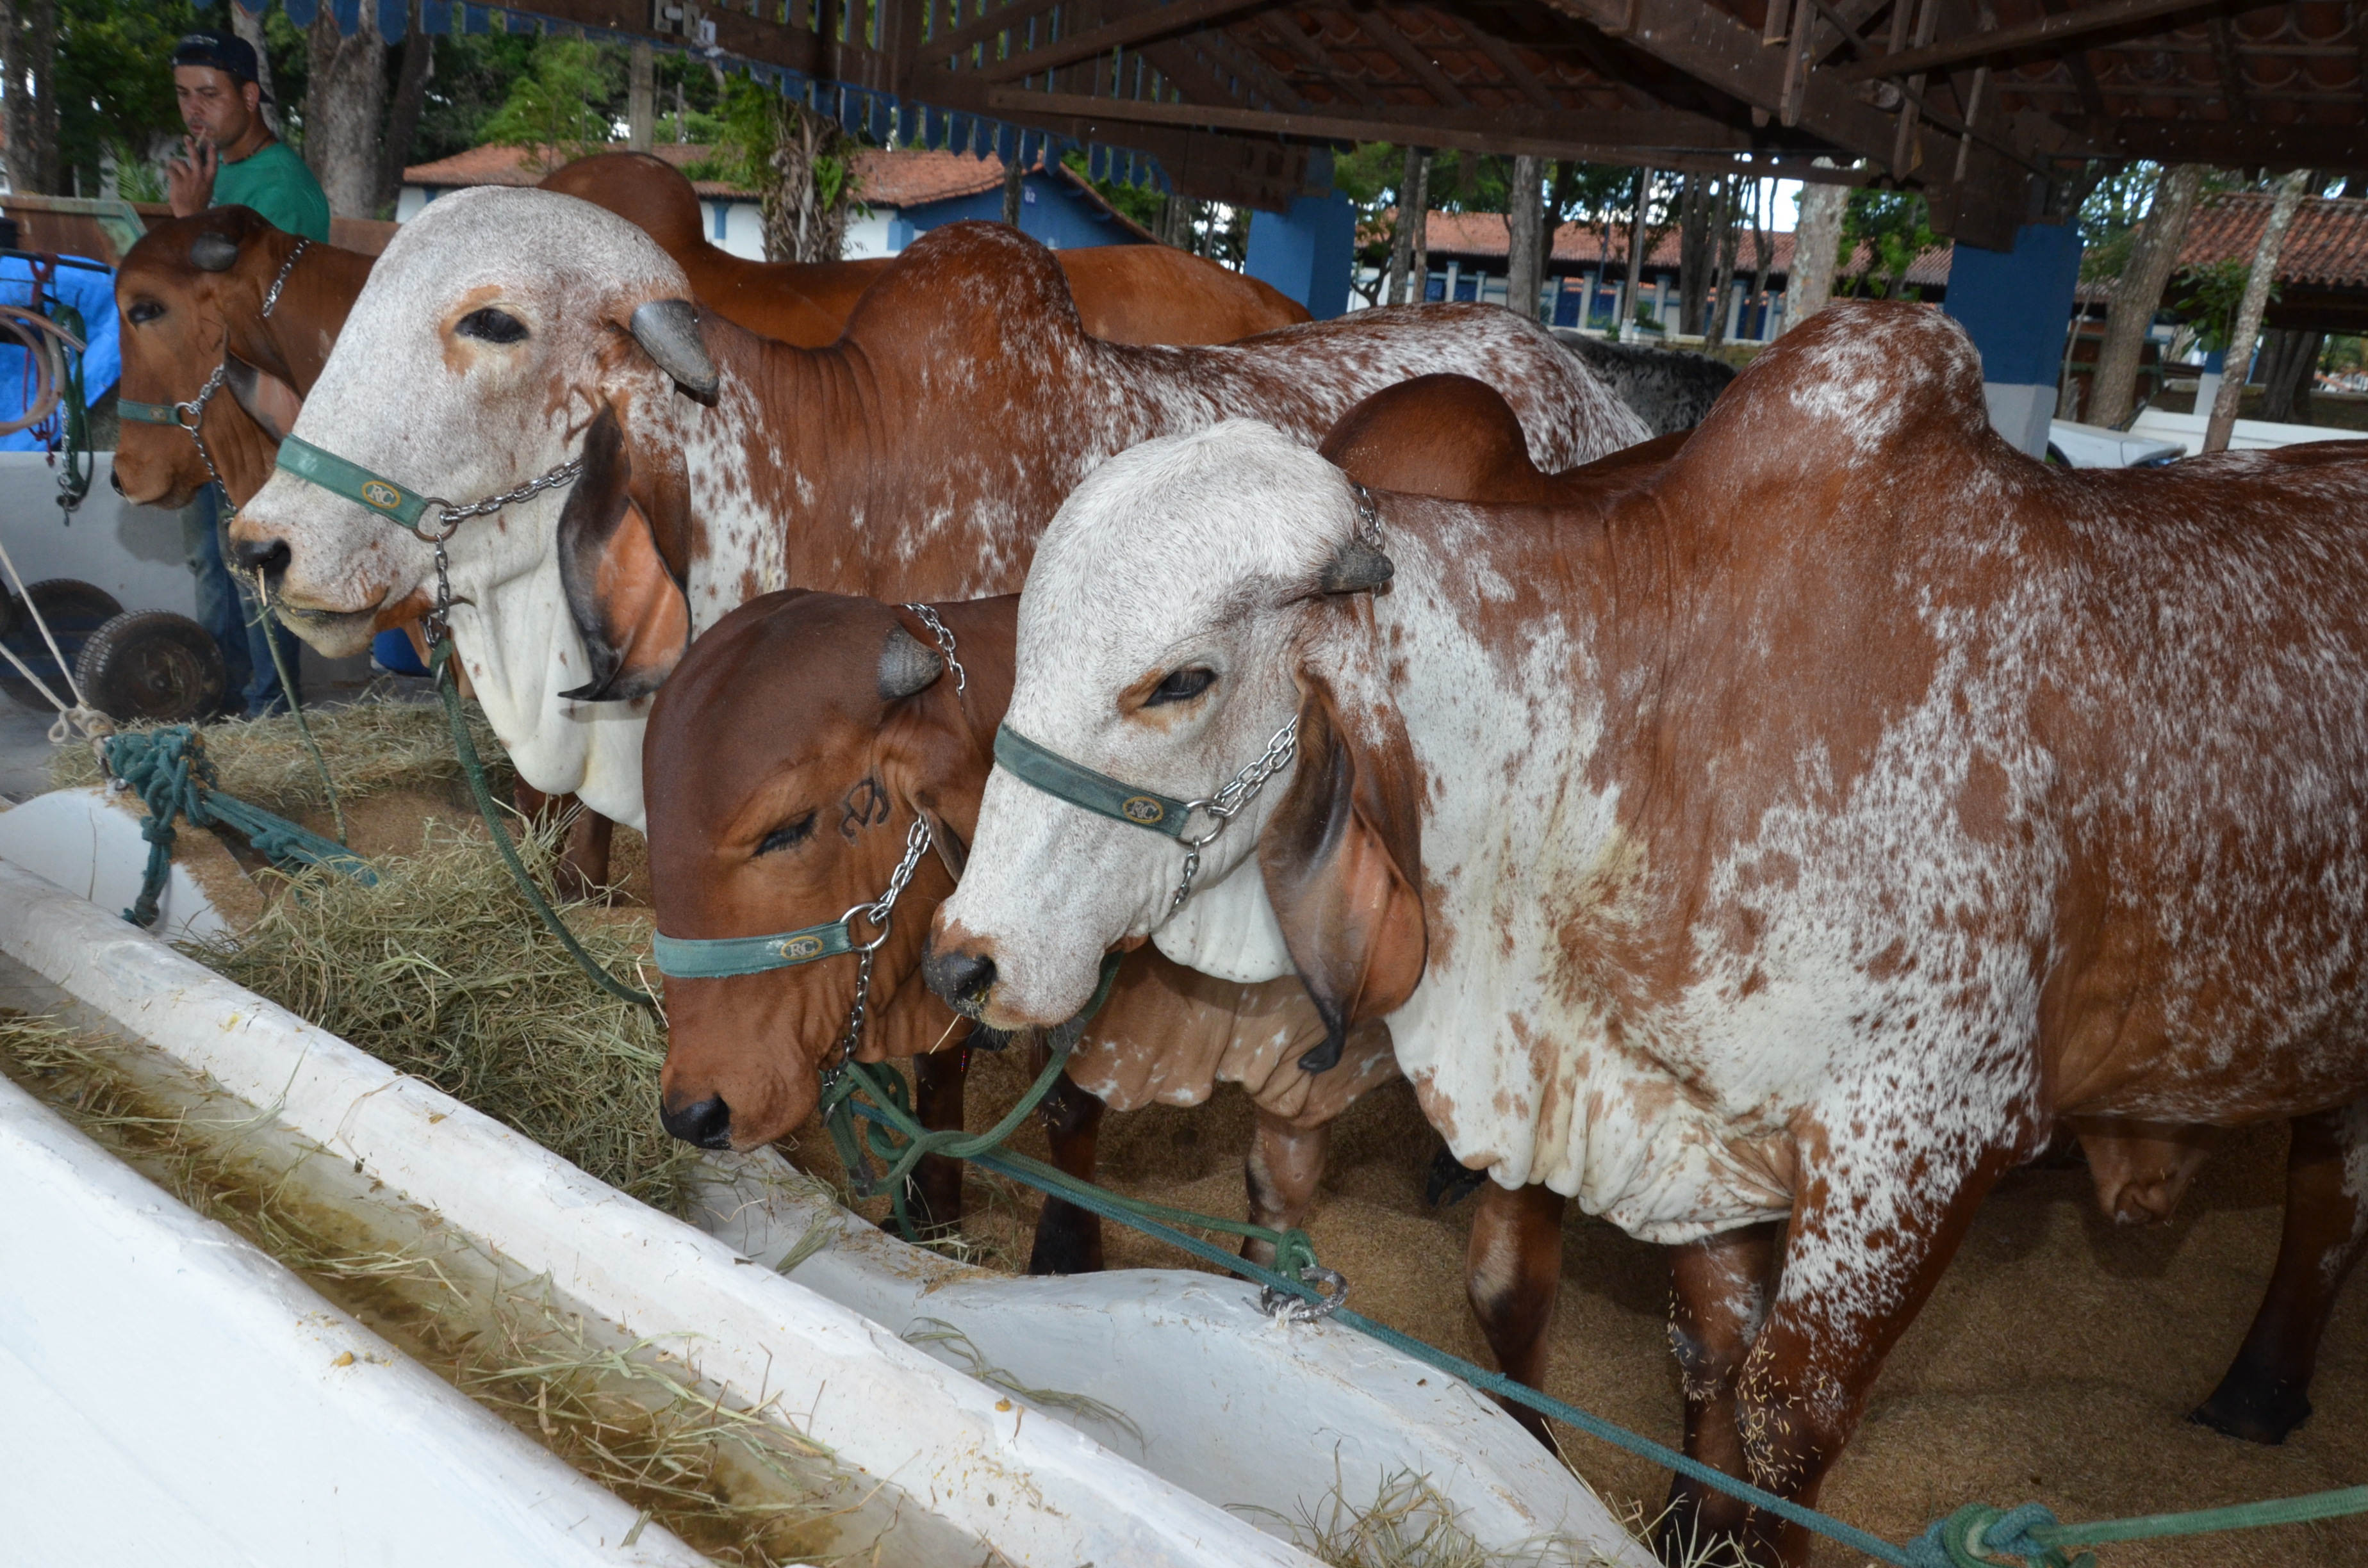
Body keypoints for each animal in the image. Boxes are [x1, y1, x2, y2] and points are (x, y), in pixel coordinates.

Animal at [639, 589, 1392, 1270]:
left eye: (787, 830)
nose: (694, 1113)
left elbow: (1072, 1105)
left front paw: (1066, 1250)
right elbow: (939, 1080)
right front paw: (932, 1214)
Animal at [919, 300, 2368, 1563]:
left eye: (1180, 681)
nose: (961, 957)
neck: (1666, 710)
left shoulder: (1921, 1143)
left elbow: (1784, 1420)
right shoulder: (1690, 1120)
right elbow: (1707, 1352)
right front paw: (1687, 1527)